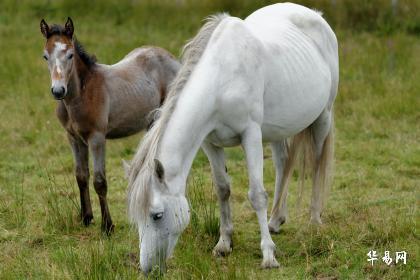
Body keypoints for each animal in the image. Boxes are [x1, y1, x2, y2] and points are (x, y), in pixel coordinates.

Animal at [41, 16, 180, 233]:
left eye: (70, 55)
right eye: (45, 56)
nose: (58, 91)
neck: (81, 93)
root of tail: (170, 56)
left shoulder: (97, 138)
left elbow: (99, 181)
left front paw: (107, 225)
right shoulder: (73, 138)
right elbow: (81, 176)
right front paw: (86, 217)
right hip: (151, 122)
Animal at [127, 2, 338, 274]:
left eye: (157, 215)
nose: (147, 268)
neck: (221, 79)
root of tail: (315, 15)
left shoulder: (251, 135)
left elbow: (257, 195)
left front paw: (268, 255)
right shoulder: (210, 143)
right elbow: (223, 189)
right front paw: (224, 244)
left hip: (323, 117)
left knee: (316, 166)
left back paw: (313, 221)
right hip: (277, 130)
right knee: (283, 164)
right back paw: (275, 220)